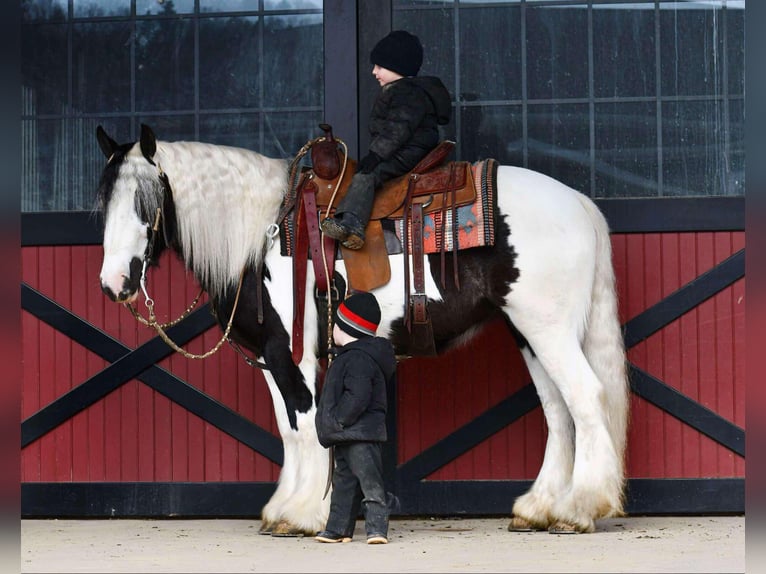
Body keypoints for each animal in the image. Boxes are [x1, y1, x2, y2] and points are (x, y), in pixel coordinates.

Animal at [93, 124, 632, 536]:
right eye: (103, 201)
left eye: (146, 202)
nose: (114, 283)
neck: (263, 235)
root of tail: (578, 202)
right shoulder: (270, 355)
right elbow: (287, 427)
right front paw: (284, 509)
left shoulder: (295, 353)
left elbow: (306, 424)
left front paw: (305, 513)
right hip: (529, 333)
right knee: (559, 411)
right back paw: (539, 508)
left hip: (548, 330)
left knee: (585, 398)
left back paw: (579, 509)